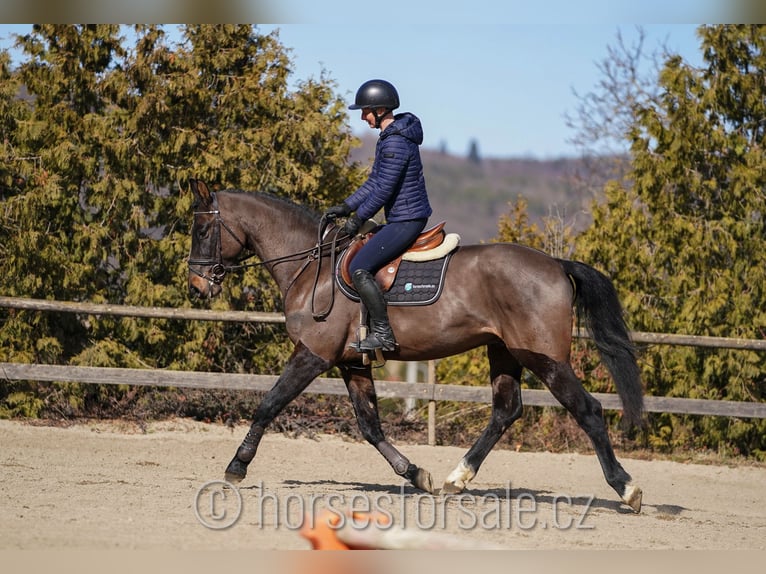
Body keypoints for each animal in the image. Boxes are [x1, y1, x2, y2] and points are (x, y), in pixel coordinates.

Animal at [188, 179, 648, 512]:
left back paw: (627, 489)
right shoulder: (353, 364)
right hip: (503, 353)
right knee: (506, 411)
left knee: (587, 410)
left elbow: (268, 404)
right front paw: (414, 473)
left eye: (204, 229)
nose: (196, 286)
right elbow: (370, 426)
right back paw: (455, 479)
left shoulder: (313, 356)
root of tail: (555, 263)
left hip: (545, 358)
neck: (311, 267)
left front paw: (236, 466)